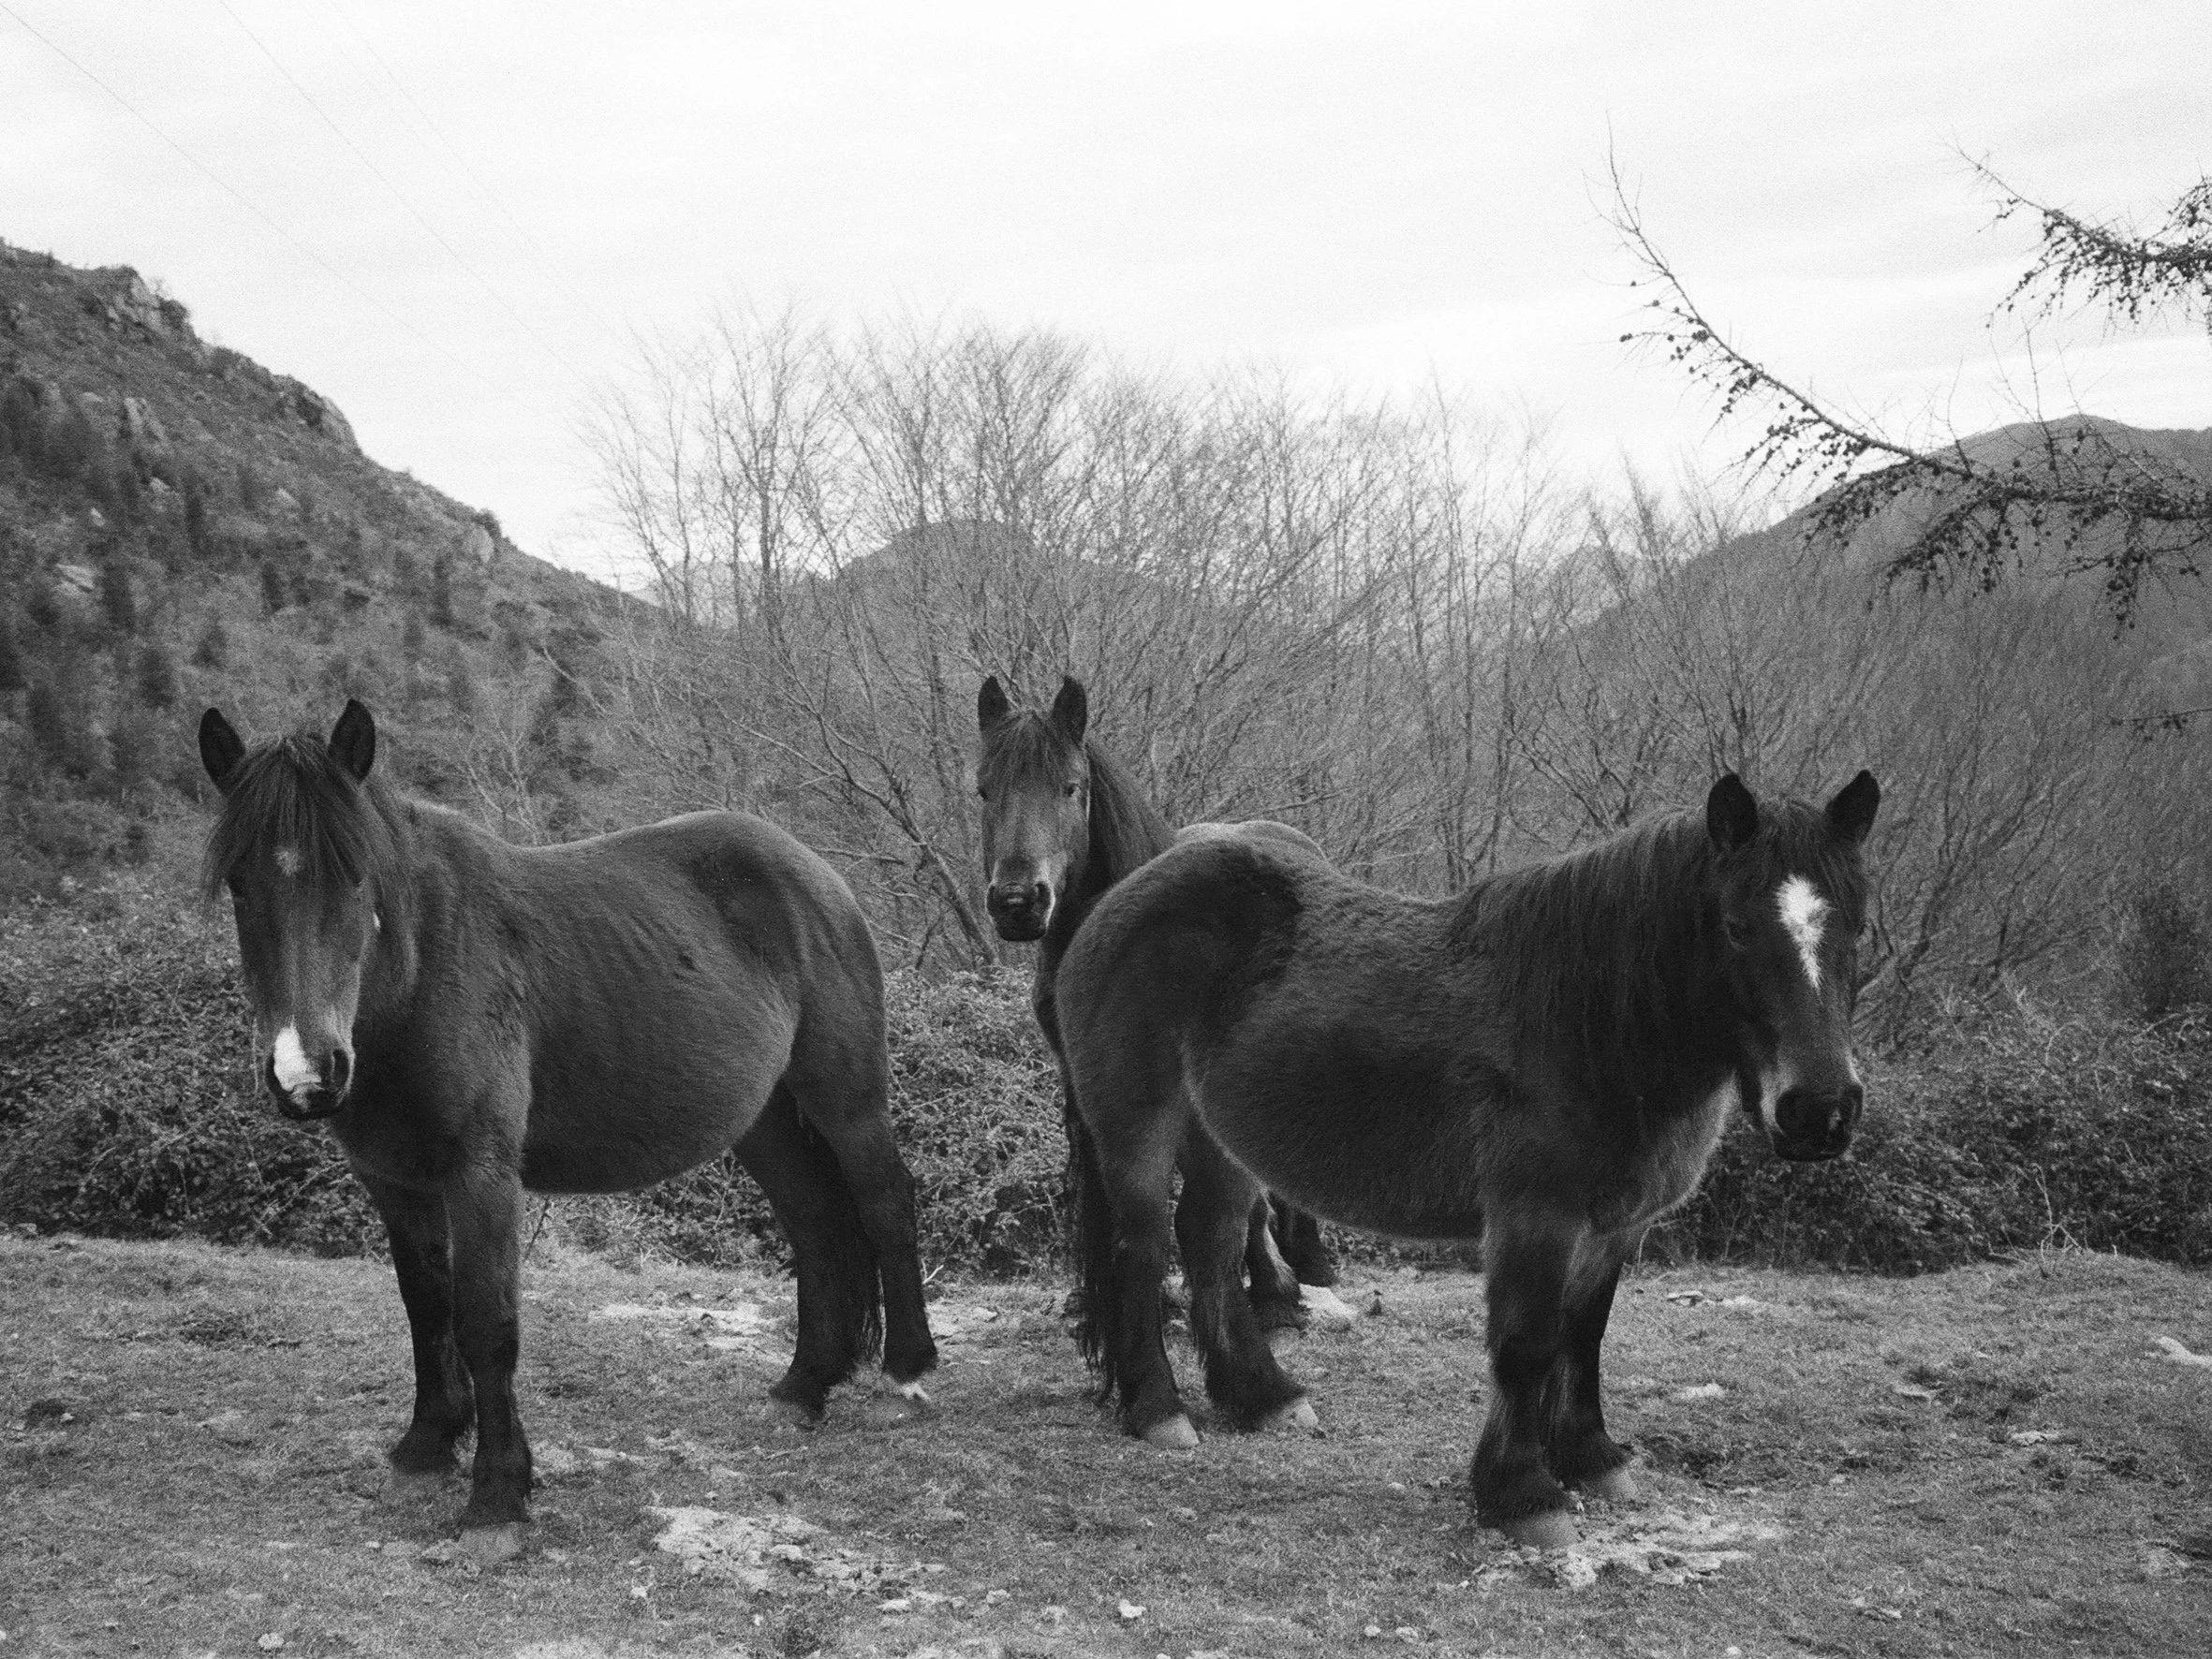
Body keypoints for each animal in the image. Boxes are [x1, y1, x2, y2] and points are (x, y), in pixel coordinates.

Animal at [196, 700, 937, 1560]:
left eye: (355, 874)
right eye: (239, 883)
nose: (307, 1072)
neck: (420, 971)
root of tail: (817, 872)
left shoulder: (481, 1175)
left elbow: (486, 1321)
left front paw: (497, 1499)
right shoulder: (393, 1179)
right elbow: (425, 1305)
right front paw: (424, 1448)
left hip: (846, 1099)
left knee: (885, 1203)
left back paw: (906, 1373)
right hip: (764, 1121)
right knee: (817, 1223)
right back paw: (803, 1388)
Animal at [1056, 768, 1881, 1546]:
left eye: (1858, 929)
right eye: (1736, 927)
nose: (1819, 1112)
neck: (1590, 1025)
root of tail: (1122, 898)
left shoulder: (1615, 1226)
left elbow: (1584, 1337)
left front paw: (1593, 1460)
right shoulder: (1534, 1217)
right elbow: (1527, 1344)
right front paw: (1523, 1495)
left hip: (1221, 1140)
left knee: (1211, 1243)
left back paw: (1263, 1398)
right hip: (1136, 1127)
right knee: (1142, 1246)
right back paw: (1158, 1411)